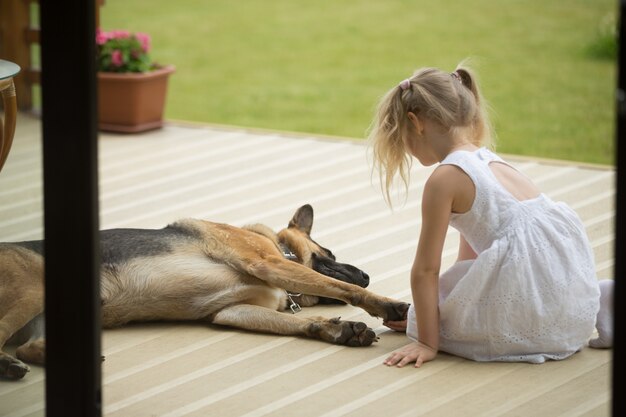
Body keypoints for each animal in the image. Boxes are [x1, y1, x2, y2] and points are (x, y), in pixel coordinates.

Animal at [0, 203, 410, 378]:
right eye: (331, 253)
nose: (367, 275)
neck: (280, 248)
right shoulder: (269, 263)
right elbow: (339, 286)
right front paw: (385, 303)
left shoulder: (231, 312)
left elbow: (298, 322)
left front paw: (336, 329)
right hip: (33, 289)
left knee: (26, 347)